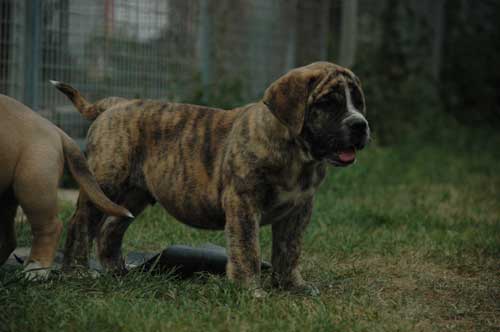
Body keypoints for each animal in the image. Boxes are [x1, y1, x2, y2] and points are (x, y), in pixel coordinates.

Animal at [52, 61, 370, 294]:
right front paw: (249, 289)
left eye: (358, 102)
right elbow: (247, 248)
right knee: (82, 224)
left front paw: (291, 286)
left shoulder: (298, 209)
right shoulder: (243, 203)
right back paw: (77, 272)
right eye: (328, 103)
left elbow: (289, 249)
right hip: (105, 183)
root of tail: (116, 104)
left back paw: (116, 271)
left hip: (135, 195)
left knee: (110, 228)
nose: (360, 125)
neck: (296, 154)